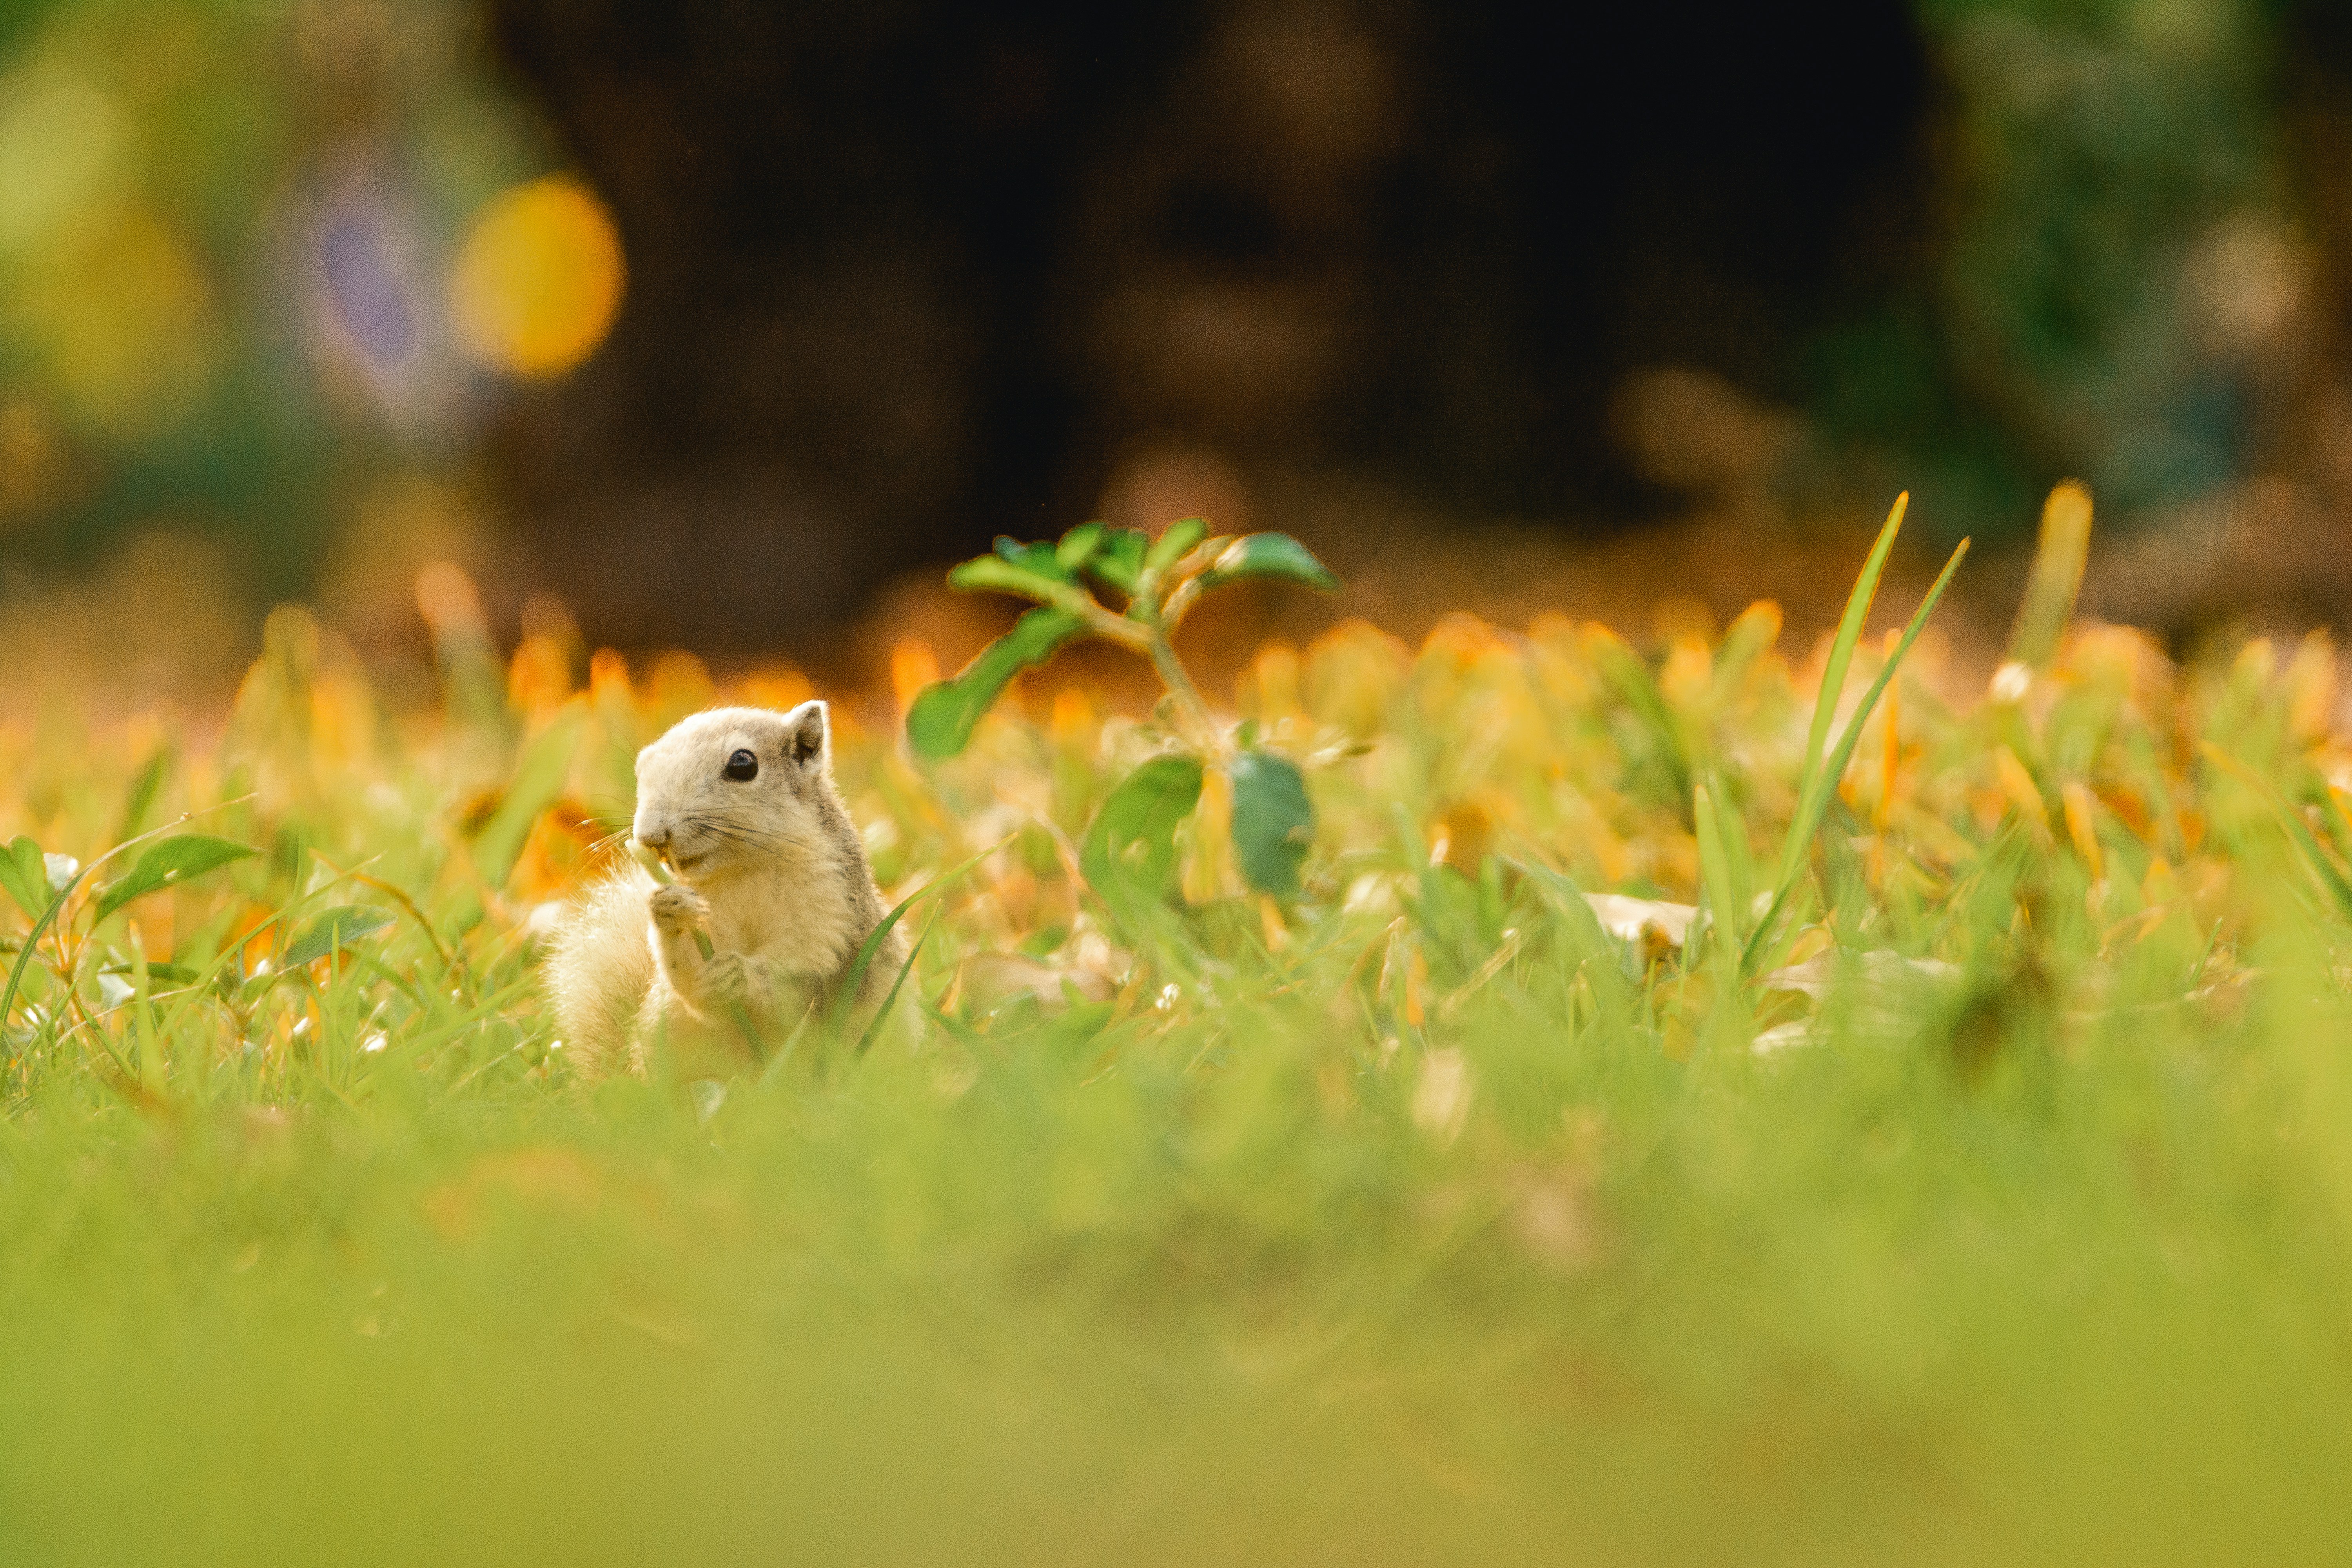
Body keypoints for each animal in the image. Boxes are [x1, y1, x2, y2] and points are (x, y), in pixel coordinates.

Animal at [543, 700, 908, 1080]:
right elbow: (691, 983)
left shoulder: (832, 916)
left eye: (743, 764)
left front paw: (738, 975)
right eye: (642, 767)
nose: (650, 836)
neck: (742, 870)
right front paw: (667, 908)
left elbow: (802, 988)